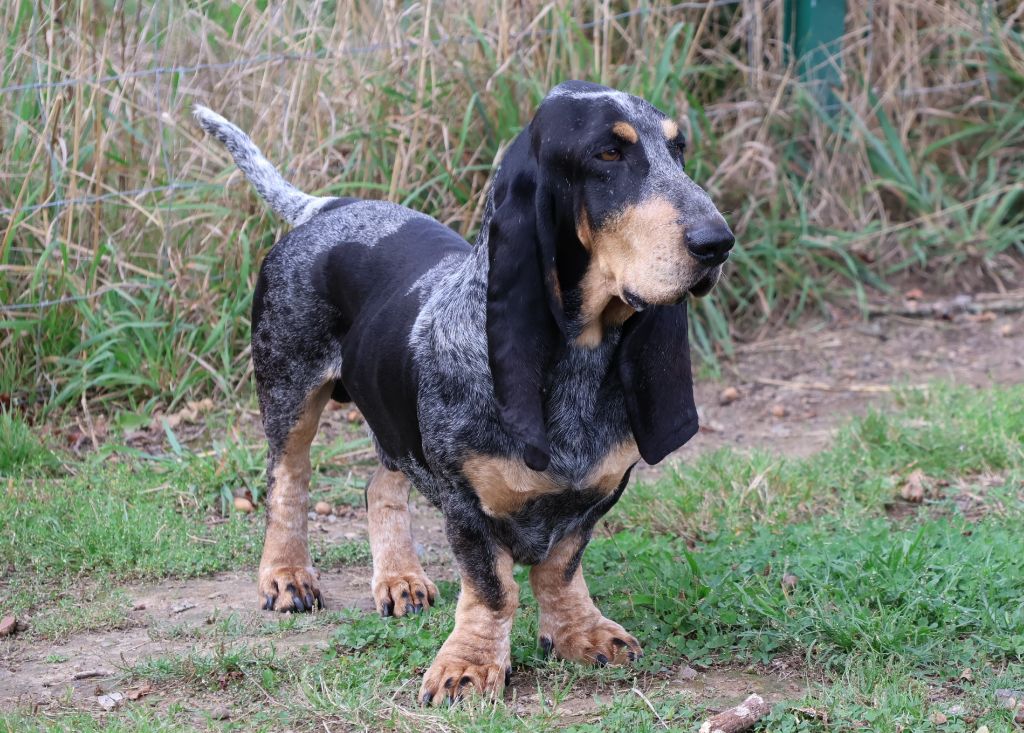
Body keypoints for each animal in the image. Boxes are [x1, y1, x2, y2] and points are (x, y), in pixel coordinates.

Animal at [193, 81, 737, 704]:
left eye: (679, 149)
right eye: (608, 154)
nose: (719, 242)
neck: (580, 356)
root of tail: (326, 207)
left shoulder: (597, 494)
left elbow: (560, 568)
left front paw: (581, 632)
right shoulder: (465, 504)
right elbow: (493, 588)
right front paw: (470, 666)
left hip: (392, 422)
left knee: (380, 484)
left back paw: (399, 579)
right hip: (289, 390)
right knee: (288, 482)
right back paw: (286, 576)